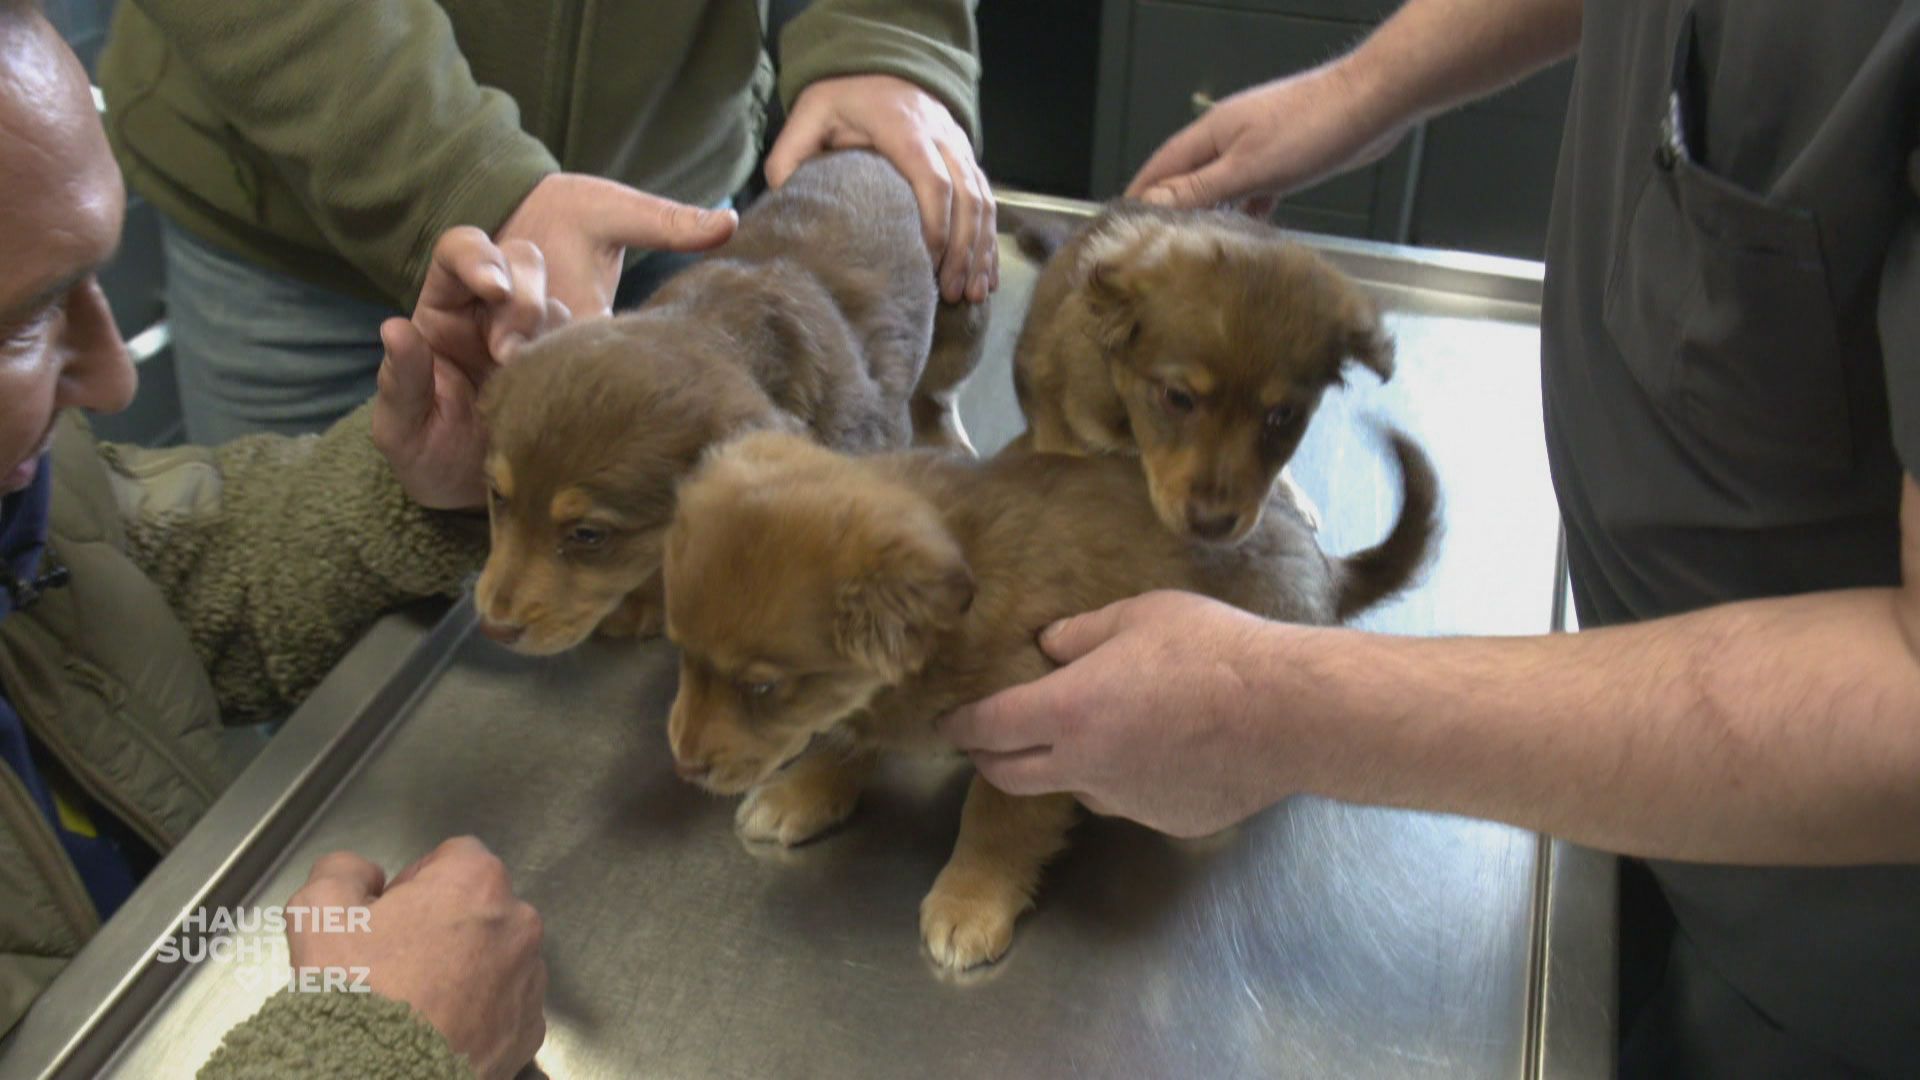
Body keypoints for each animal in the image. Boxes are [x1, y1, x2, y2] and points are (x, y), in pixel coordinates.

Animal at [470, 148, 983, 657]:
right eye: (498, 497)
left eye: (588, 535)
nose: (494, 629)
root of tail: (868, 151)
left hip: (962, 307)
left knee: (938, 390)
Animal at [668, 426, 1436, 968]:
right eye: (678, 649)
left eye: (762, 687)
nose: (683, 763)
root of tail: (1327, 570)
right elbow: (846, 737)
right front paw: (799, 792)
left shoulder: (1036, 726)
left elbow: (994, 820)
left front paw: (971, 898)